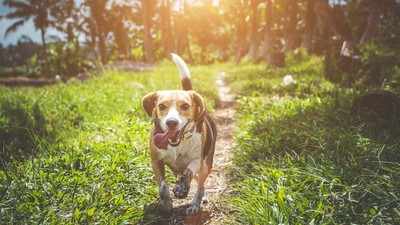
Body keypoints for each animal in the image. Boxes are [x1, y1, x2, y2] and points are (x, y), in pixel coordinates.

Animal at [141, 52, 216, 214]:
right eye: (161, 106)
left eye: (185, 106)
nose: (171, 122)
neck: (177, 144)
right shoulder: (156, 161)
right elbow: (162, 186)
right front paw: (167, 203)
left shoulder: (197, 160)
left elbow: (188, 171)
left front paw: (181, 187)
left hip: (206, 165)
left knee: (200, 185)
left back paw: (196, 204)